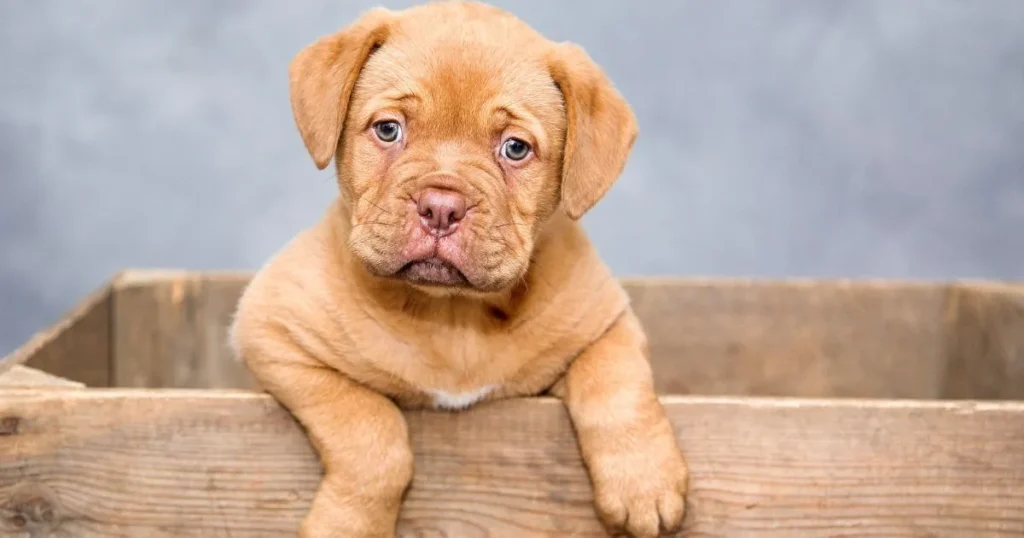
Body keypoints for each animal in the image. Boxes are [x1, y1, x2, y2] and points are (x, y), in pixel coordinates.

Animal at [231, 2, 688, 532]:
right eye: (388, 129)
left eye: (515, 148)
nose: (441, 207)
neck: (452, 314)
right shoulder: (273, 332)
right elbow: (370, 429)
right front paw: (348, 525)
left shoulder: (606, 321)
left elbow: (615, 384)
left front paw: (643, 482)